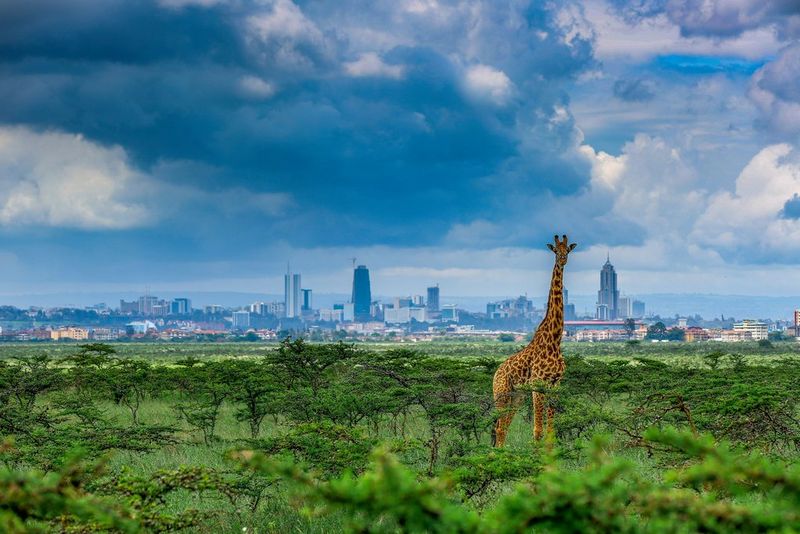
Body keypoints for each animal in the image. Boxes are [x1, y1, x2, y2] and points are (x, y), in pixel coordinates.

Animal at [492, 235, 577, 446]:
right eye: (555, 250)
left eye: (568, 250)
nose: (563, 259)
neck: (554, 340)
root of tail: (495, 373)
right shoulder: (538, 385)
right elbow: (537, 431)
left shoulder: (555, 385)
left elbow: (550, 430)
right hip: (501, 394)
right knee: (499, 427)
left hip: (517, 396)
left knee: (504, 427)